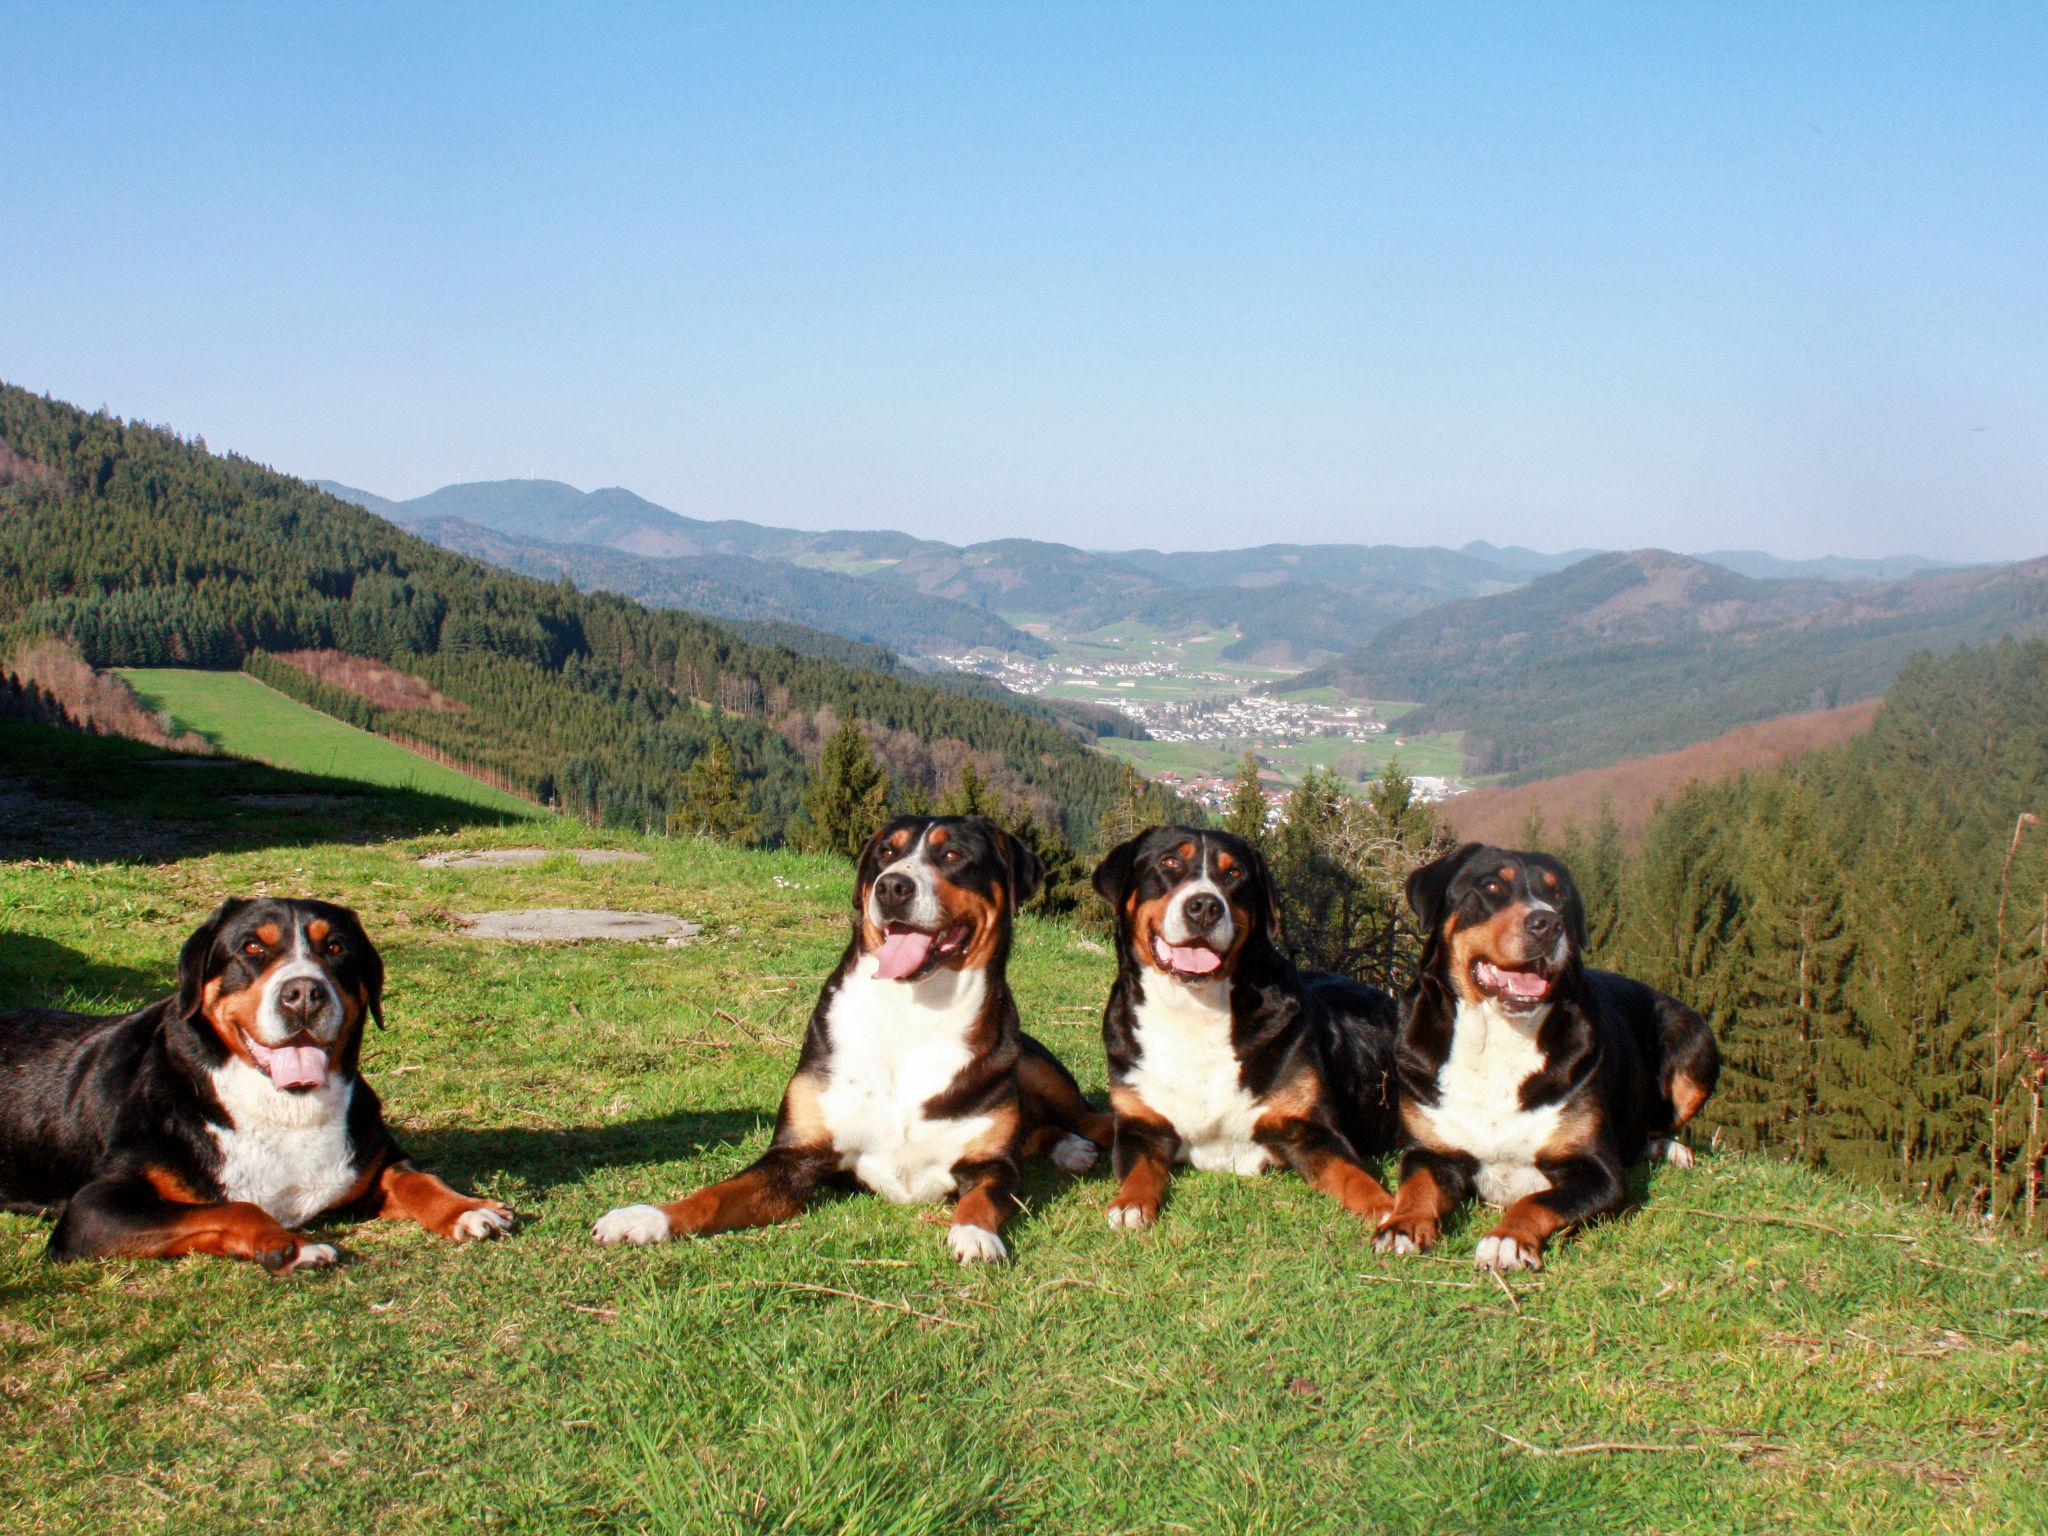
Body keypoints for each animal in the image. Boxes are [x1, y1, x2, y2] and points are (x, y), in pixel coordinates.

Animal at [0, 897, 512, 1269]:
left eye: (336, 948)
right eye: (251, 948)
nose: (304, 993)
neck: (285, 1108)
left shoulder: (370, 1160)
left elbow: (418, 1179)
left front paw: (466, 1208)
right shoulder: (94, 1208)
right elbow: (238, 1207)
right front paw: (291, 1245)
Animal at [585, 811, 1114, 1269]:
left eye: (953, 855)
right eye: (886, 853)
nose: (893, 886)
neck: (912, 1015)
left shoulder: (991, 1164)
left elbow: (983, 1199)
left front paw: (975, 1236)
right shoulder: (794, 1158)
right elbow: (715, 1194)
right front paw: (646, 1218)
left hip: (1034, 1065)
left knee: (1092, 1119)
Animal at [1089, 831, 1409, 1236]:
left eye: (1234, 873)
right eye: (1169, 862)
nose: (1205, 907)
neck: (1193, 1010)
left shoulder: (1309, 1128)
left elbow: (1353, 1174)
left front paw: (1390, 1211)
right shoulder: (1140, 1123)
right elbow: (1138, 1169)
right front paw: (1131, 1204)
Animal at [1376, 843, 1728, 1277]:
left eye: (1558, 895)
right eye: (1491, 886)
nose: (1548, 923)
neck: (1498, 1036)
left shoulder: (1599, 1172)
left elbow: (1537, 1200)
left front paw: (1506, 1240)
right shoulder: (1430, 1149)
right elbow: (1416, 1186)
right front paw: (1402, 1224)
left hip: (1695, 1038)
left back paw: (1669, 1149)